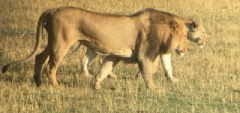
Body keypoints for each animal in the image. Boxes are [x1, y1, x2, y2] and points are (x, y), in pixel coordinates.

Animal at [1, 7, 189, 91]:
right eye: (185, 36)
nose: (187, 49)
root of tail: (52, 9)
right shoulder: (144, 55)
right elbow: (147, 73)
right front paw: (155, 89)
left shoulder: (114, 55)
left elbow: (104, 70)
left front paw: (96, 85)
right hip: (60, 43)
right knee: (50, 66)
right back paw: (56, 86)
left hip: (51, 42)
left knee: (39, 57)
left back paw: (38, 82)